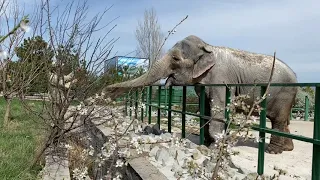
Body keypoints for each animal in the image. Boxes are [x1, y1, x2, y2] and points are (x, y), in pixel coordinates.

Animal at [106, 35, 298, 155]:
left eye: (176, 59)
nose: (107, 91)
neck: (208, 46)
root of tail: (296, 77)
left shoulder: (221, 79)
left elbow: (217, 108)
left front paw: (214, 147)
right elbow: (205, 107)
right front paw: (205, 142)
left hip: (283, 92)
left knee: (278, 120)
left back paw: (272, 151)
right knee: (283, 120)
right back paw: (288, 149)